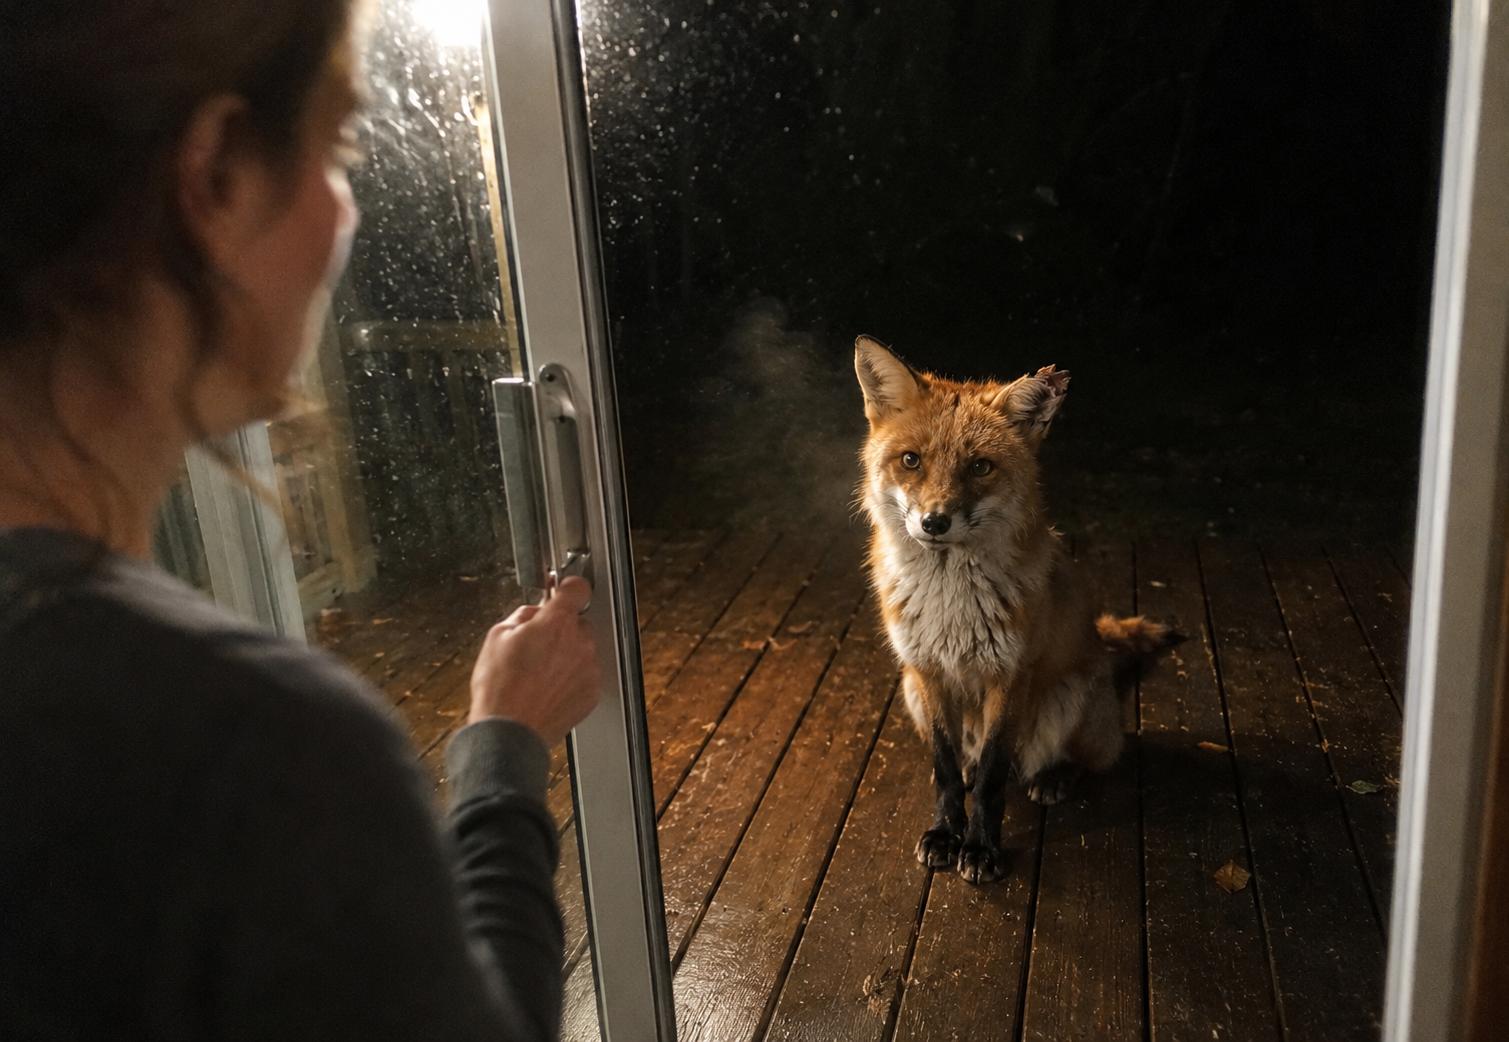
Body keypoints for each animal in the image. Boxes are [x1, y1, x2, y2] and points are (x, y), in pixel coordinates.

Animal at [854, 335, 1181, 884]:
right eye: (911, 460)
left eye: (980, 466)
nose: (934, 522)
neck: (950, 607)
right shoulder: (926, 670)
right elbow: (946, 770)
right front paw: (946, 833)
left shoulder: (1009, 675)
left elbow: (992, 777)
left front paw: (981, 848)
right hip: (911, 692)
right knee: (969, 754)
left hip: (1069, 698)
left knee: (1084, 758)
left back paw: (1054, 776)